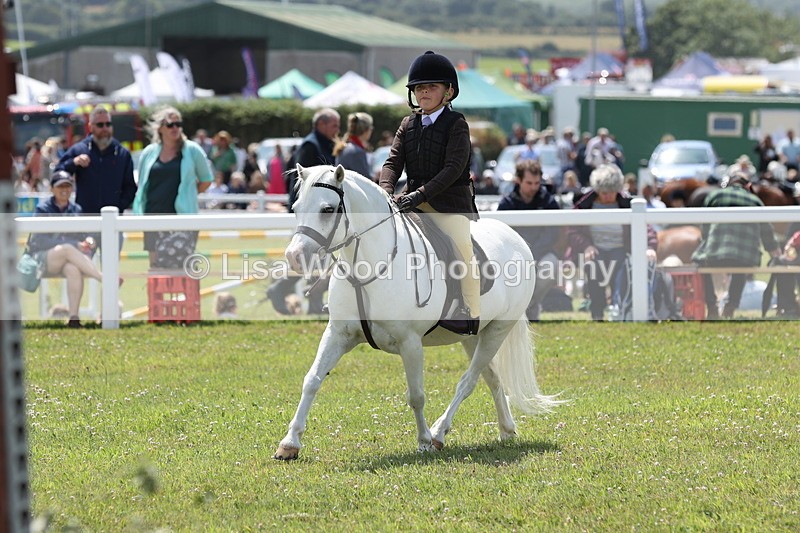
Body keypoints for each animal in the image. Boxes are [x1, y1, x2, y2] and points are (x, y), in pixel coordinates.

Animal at [273, 165, 563, 460]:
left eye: (328, 209)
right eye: (295, 208)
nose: (295, 256)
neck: (369, 268)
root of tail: (516, 239)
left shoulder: (410, 342)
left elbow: (416, 395)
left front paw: (423, 441)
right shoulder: (337, 335)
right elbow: (312, 380)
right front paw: (289, 443)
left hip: (497, 330)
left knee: (468, 381)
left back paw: (438, 433)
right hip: (473, 336)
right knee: (492, 378)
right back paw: (506, 429)